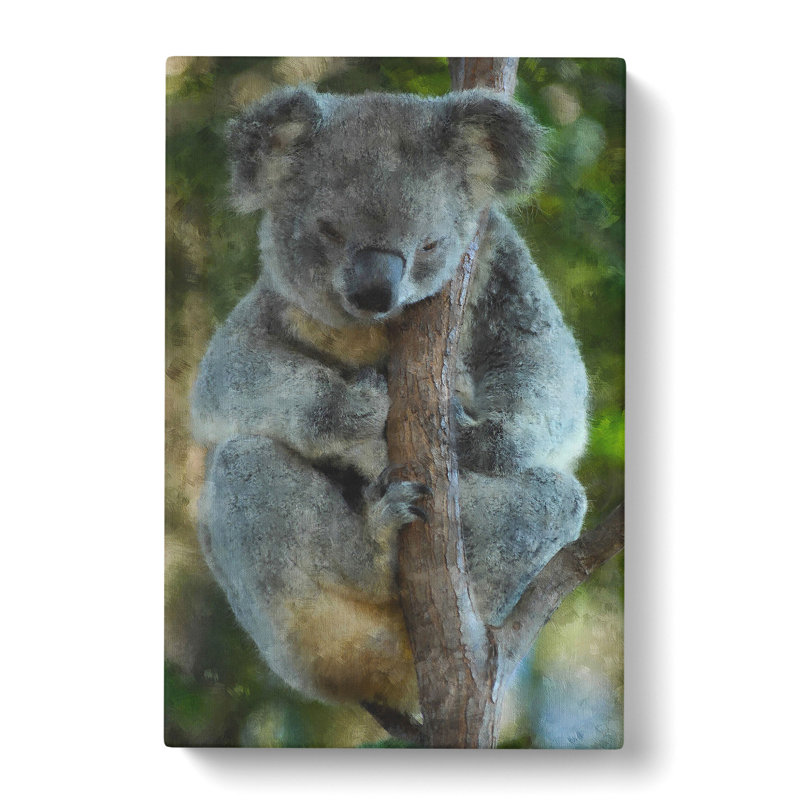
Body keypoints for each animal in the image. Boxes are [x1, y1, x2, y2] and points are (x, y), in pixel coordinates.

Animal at [191, 86, 588, 714]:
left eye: (429, 244)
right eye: (329, 231)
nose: (375, 292)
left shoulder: (501, 268)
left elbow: (551, 379)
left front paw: (466, 433)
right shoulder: (274, 311)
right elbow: (229, 376)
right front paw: (365, 414)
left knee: (555, 500)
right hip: (285, 623)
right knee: (243, 463)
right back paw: (376, 539)